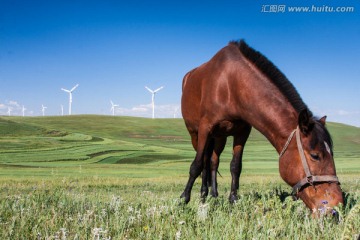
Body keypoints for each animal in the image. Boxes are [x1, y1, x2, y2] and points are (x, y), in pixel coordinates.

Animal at [180, 39, 344, 214]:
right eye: (315, 155)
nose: (336, 205)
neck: (231, 84)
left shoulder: (242, 131)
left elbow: (235, 166)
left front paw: (233, 200)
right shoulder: (205, 128)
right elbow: (196, 165)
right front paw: (184, 199)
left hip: (219, 138)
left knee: (212, 161)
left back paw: (213, 195)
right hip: (196, 134)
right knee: (203, 161)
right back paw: (203, 196)